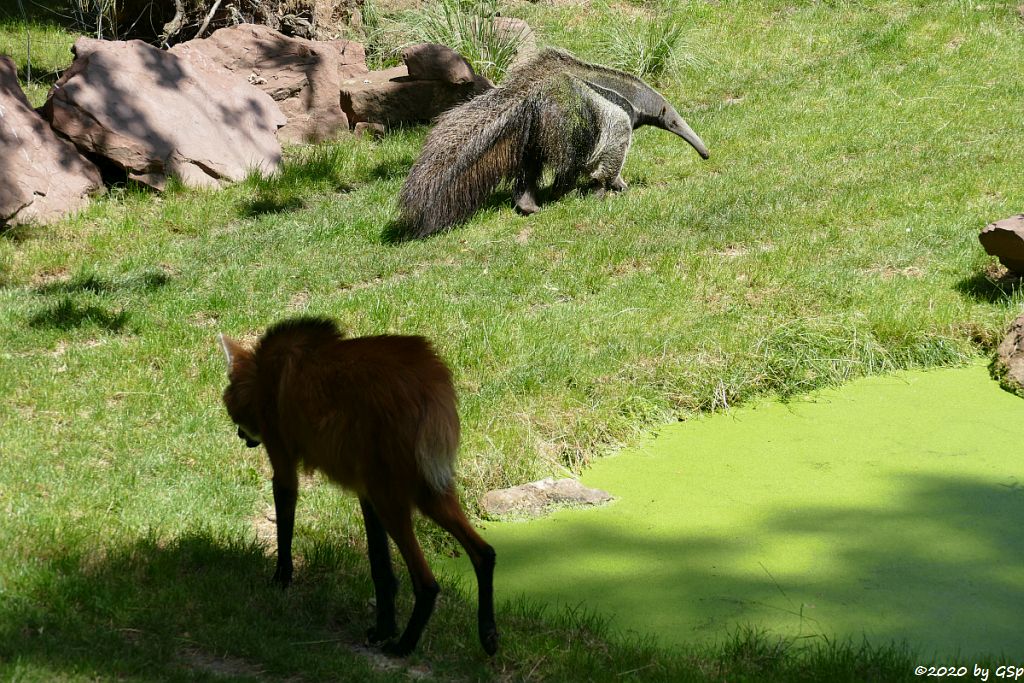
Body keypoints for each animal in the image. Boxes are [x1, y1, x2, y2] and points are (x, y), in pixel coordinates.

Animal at [220, 319, 499, 655]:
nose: (240, 435)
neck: (263, 377)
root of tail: (433, 382)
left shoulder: (283, 456)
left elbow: (285, 518)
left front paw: (280, 580)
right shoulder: (366, 490)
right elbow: (379, 564)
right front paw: (382, 629)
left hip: (394, 494)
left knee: (427, 581)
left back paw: (403, 647)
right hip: (425, 487)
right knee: (484, 553)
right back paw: (488, 636)